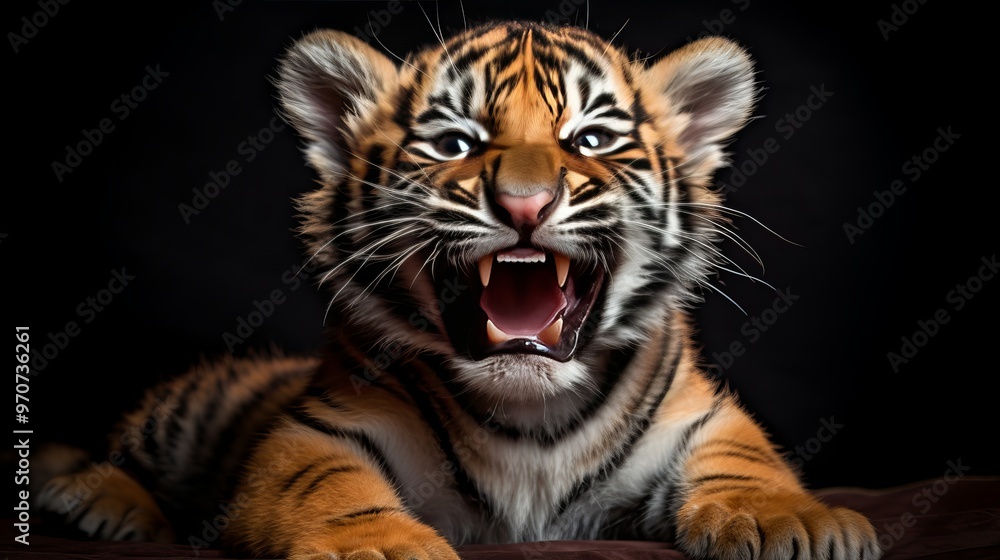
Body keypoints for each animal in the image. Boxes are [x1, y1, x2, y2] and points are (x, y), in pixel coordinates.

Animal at [33, 20, 880, 560]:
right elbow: (324, 481)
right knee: (117, 454)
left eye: (590, 140)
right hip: (188, 413)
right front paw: (377, 545)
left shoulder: (699, 417)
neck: (531, 411)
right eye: (454, 143)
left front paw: (797, 524)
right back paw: (98, 502)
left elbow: (748, 461)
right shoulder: (320, 427)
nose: (525, 204)